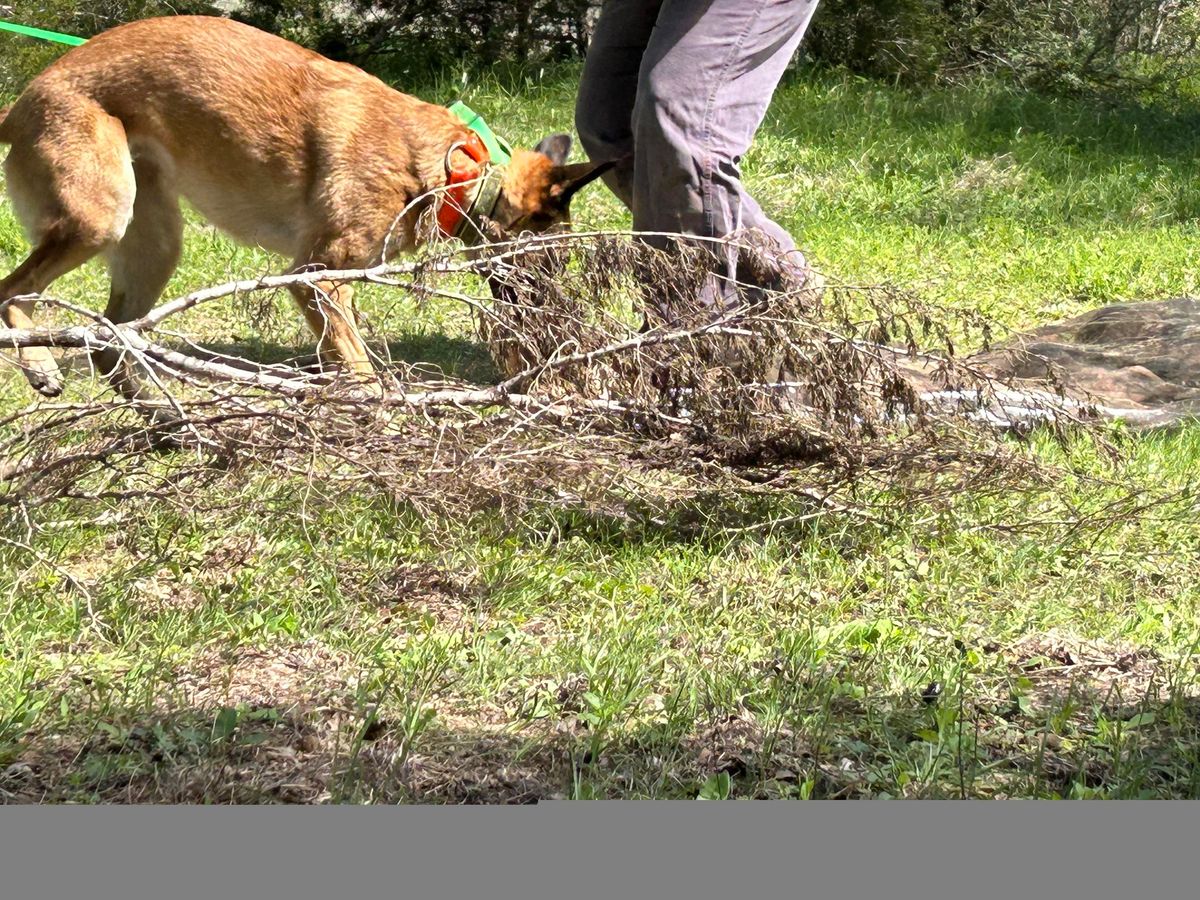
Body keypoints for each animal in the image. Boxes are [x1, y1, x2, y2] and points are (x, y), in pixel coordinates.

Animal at [0, 14, 609, 398]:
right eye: (553, 261)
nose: (557, 327)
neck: (454, 170)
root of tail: (23, 99)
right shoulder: (316, 278)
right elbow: (361, 371)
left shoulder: (332, 289)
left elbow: (345, 356)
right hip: (98, 220)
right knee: (14, 292)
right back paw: (41, 365)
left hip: (154, 245)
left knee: (107, 342)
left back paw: (169, 423)